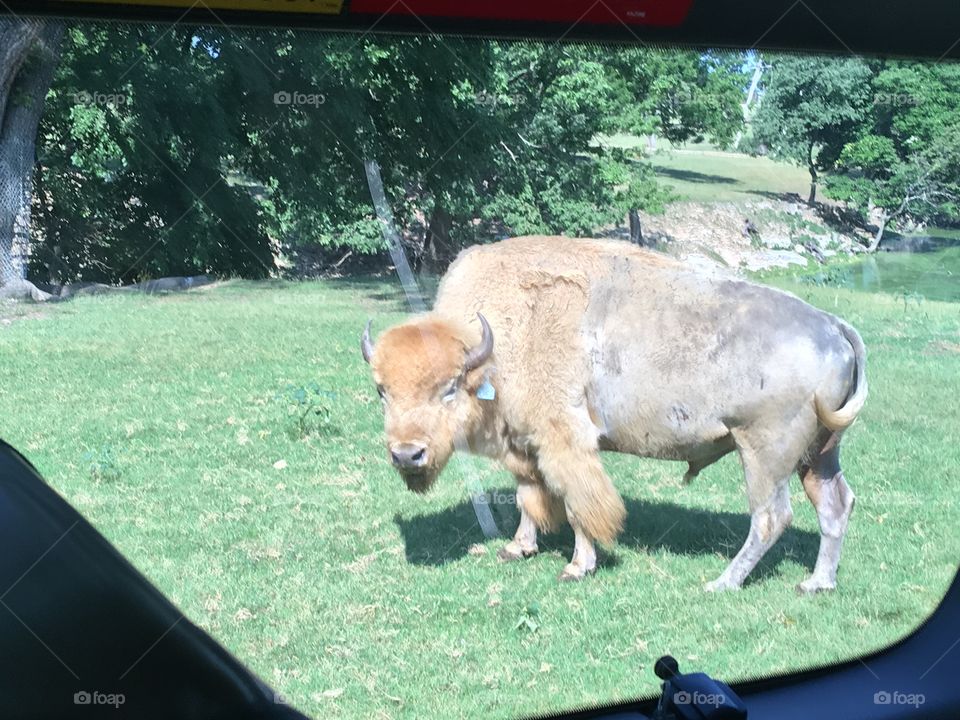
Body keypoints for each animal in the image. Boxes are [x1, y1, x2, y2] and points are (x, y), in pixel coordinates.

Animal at [362, 236, 866, 591]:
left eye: (449, 389)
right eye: (382, 390)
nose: (407, 455)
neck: (501, 342)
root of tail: (831, 325)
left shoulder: (565, 441)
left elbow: (579, 503)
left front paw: (576, 567)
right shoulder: (525, 445)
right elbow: (529, 498)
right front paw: (517, 548)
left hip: (764, 453)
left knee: (769, 517)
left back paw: (722, 582)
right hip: (819, 454)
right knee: (835, 505)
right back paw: (817, 583)